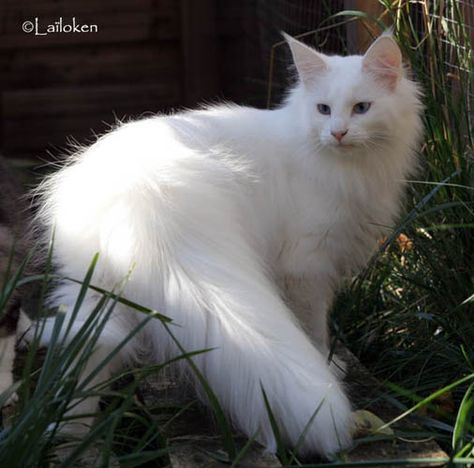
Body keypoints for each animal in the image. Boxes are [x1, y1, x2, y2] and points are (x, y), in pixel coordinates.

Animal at [35, 33, 424, 458]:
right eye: (323, 110)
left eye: (361, 108)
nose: (337, 133)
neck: (349, 169)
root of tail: (138, 194)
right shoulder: (306, 268)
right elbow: (314, 328)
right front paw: (326, 365)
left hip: (97, 291)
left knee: (86, 347)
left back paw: (71, 432)